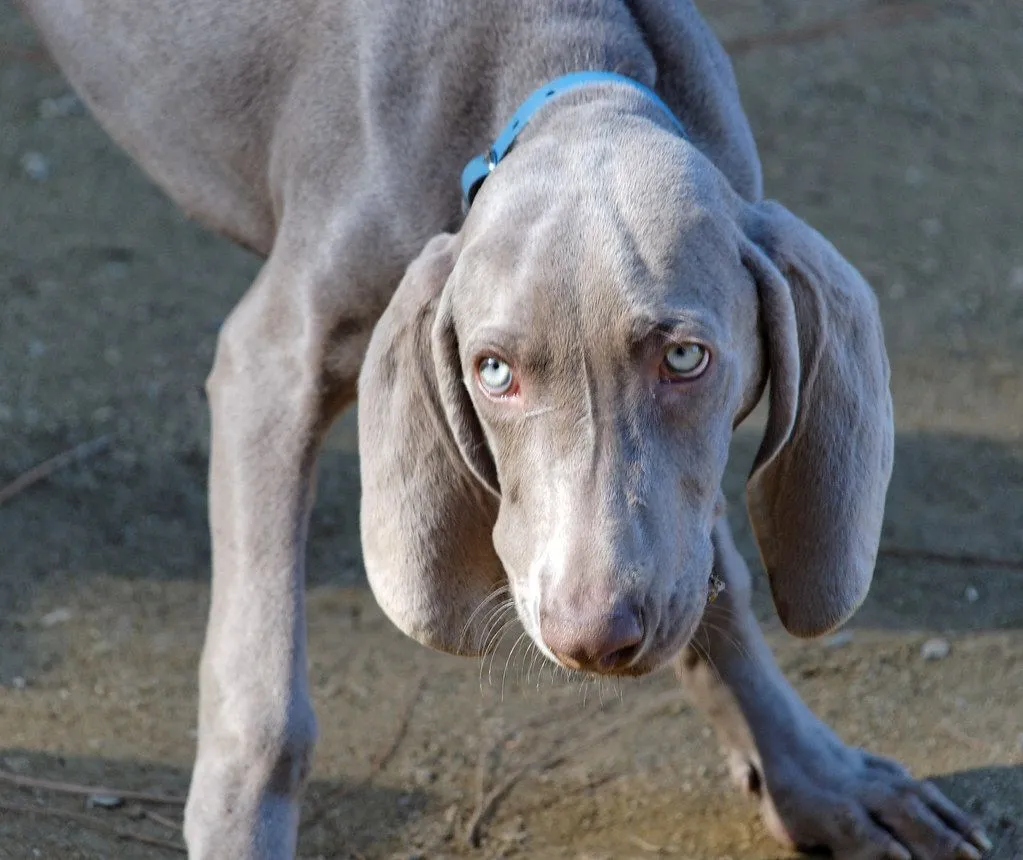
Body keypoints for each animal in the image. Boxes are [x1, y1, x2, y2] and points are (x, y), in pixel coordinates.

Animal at [14, 0, 990, 854]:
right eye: (493, 372)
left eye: (684, 358)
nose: (591, 638)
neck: (557, 65)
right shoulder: (269, 364)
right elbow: (266, 705)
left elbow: (711, 580)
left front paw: (818, 779)